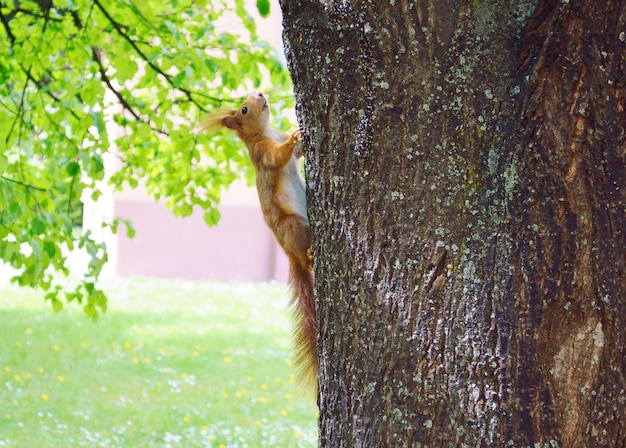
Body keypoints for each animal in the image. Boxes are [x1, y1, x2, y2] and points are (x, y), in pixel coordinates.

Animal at [201, 93, 314, 390]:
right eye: (244, 109)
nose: (261, 93)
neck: (266, 131)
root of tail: (289, 254)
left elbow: (296, 155)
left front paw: (299, 137)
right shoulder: (262, 152)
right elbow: (277, 158)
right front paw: (294, 139)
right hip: (293, 227)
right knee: (303, 254)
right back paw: (310, 256)